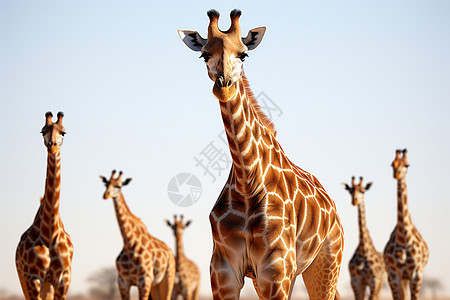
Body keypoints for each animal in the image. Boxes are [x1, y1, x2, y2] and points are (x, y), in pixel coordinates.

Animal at [14, 111, 73, 300]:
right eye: (43, 131)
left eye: (63, 132)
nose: (52, 145)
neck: (49, 234)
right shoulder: (31, 277)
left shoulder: (63, 279)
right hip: (25, 280)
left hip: (48, 284)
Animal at [100, 170, 176, 300]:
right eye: (106, 184)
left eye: (119, 186)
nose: (106, 195)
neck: (129, 243)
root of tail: (170, 253)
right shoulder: (122, 281)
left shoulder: (145, 280)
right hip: (155, 286)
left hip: (167, 279)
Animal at [178, 9, 342, 300]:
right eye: (204, 55)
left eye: (243, 54)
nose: (224, 85)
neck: (248, 180)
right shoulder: (223, 271)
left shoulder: (276, 272)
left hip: (325, 266)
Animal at [384, 150, 428, 300]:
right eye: (392, 164)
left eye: (407, 165)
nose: (397, 174)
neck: (404, 239)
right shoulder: (394, 275)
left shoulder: (416, 274)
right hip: (399, 277)